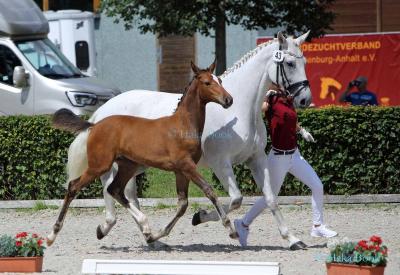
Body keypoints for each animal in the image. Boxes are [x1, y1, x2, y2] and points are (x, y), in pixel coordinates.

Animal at [46, 61, 234, 247]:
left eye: (220, 81)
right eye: (207, 83)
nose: (228, 100)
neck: (183, 125)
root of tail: (94, 124)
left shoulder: (181, 171)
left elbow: (182, 205)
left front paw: (156, 235)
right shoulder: (186, 166)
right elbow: (209, 191)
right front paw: (230, 229)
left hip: (128, 165)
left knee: (114, 189)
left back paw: (140, 228)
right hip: (99, 165)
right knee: (74, 186)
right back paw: (51, 235)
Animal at [65, 31, 312, 251]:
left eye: (304, 62)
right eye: (290, 63)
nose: (305, 99)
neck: (241, 109)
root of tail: (102, 112)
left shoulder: (256, 159)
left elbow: (270, 199)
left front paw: (293, 239)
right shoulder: (221, 163)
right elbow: (236, 199)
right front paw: (200, 217)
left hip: (137, 164)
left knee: (126, 194)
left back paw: (150, 238)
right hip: (118, 162)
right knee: (110, 187)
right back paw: (109, 227)